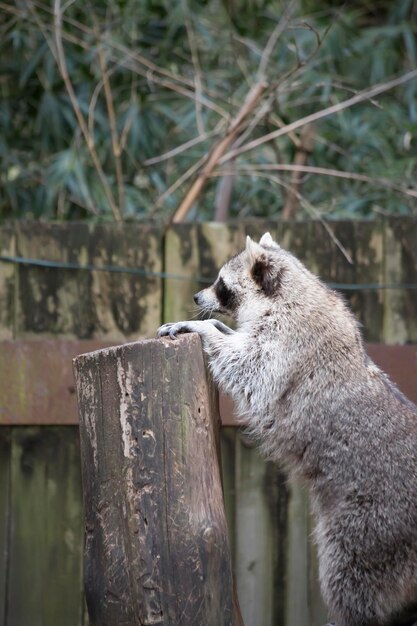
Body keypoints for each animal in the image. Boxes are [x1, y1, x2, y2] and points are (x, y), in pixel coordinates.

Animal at [157, 230, 416, 624]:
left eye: (221, 284)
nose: (197, 297)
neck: (292, 291)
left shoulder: (288, 343)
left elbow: (250, 369)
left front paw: (202, 328)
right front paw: (217, 326)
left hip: (374, 524)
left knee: (348, 573)